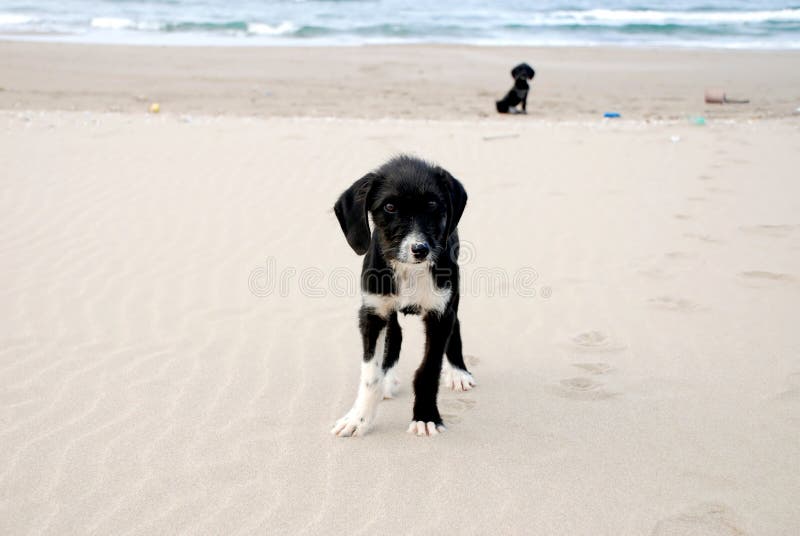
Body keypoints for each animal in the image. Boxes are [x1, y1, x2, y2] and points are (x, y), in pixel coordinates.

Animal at [330, 154, 472, 436]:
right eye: (390, 207)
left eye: (432, 205)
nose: (420, 249)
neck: (408, 270)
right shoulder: (372, 313)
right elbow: (370, 374)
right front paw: (358, 418)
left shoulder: (439, 313)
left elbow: (428, 370)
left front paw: (426, 417)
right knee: (394, 334)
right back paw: (388, 377)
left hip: (453, 291)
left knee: (456, 323)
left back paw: (458, 371)